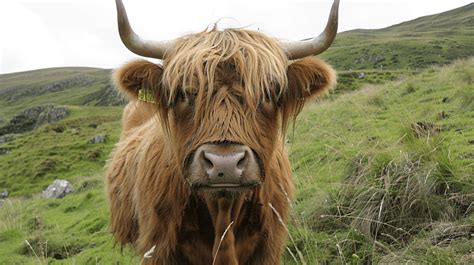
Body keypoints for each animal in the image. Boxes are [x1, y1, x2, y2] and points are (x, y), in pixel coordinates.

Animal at [105, 0, 338, 264]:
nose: (224, 164)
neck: (222, 214)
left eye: (269, 94)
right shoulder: (158, 248)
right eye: (183, 94)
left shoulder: (269, 247)